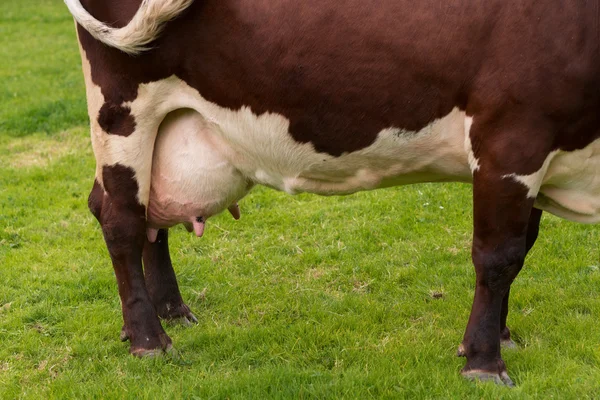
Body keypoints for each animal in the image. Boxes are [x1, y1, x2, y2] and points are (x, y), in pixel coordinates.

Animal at [63, 0, 596, 386]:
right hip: (121, 106)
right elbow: (499, 257)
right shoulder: (511, 136)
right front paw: (484, 361)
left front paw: (499, 337)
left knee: (140, 215)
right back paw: (149, 340)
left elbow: (520, 248)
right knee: (121, 221)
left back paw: (170, 312)